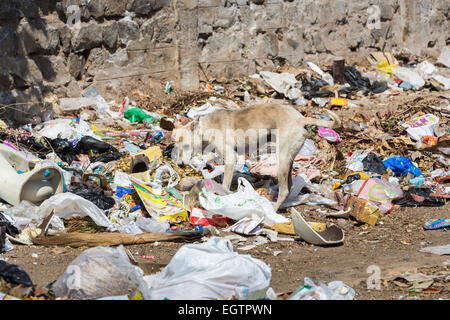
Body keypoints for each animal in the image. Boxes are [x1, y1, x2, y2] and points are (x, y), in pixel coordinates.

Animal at [172, 103, 342, 212]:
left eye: (186, 146)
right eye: (176, 147)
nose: (179, 165)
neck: (206, 127)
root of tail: (301, 118)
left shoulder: (231, 159)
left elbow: (225, 185)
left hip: (282, 161)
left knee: (285, 189)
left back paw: (272, 210)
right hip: (288, 160)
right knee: (290, 186)